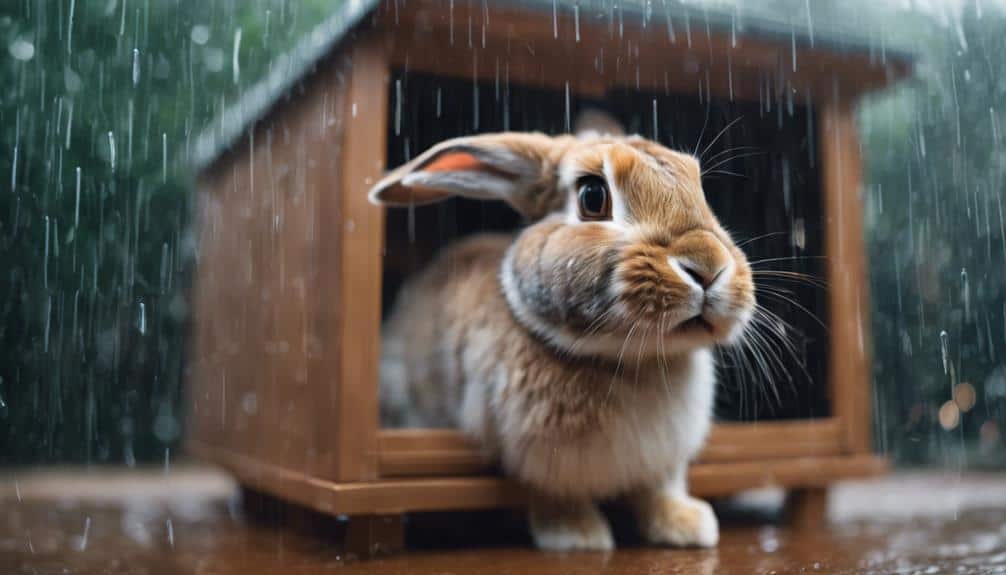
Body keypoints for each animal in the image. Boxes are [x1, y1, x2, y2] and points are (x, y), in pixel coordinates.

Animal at [369, 116, 755, 552]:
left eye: (700, 189)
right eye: (593, 197)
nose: (708, 266)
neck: (632, 360)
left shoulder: (664, 461)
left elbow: (658, 491)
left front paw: (690, 527)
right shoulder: (539, 460)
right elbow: (557, 497)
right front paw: (580, 537)